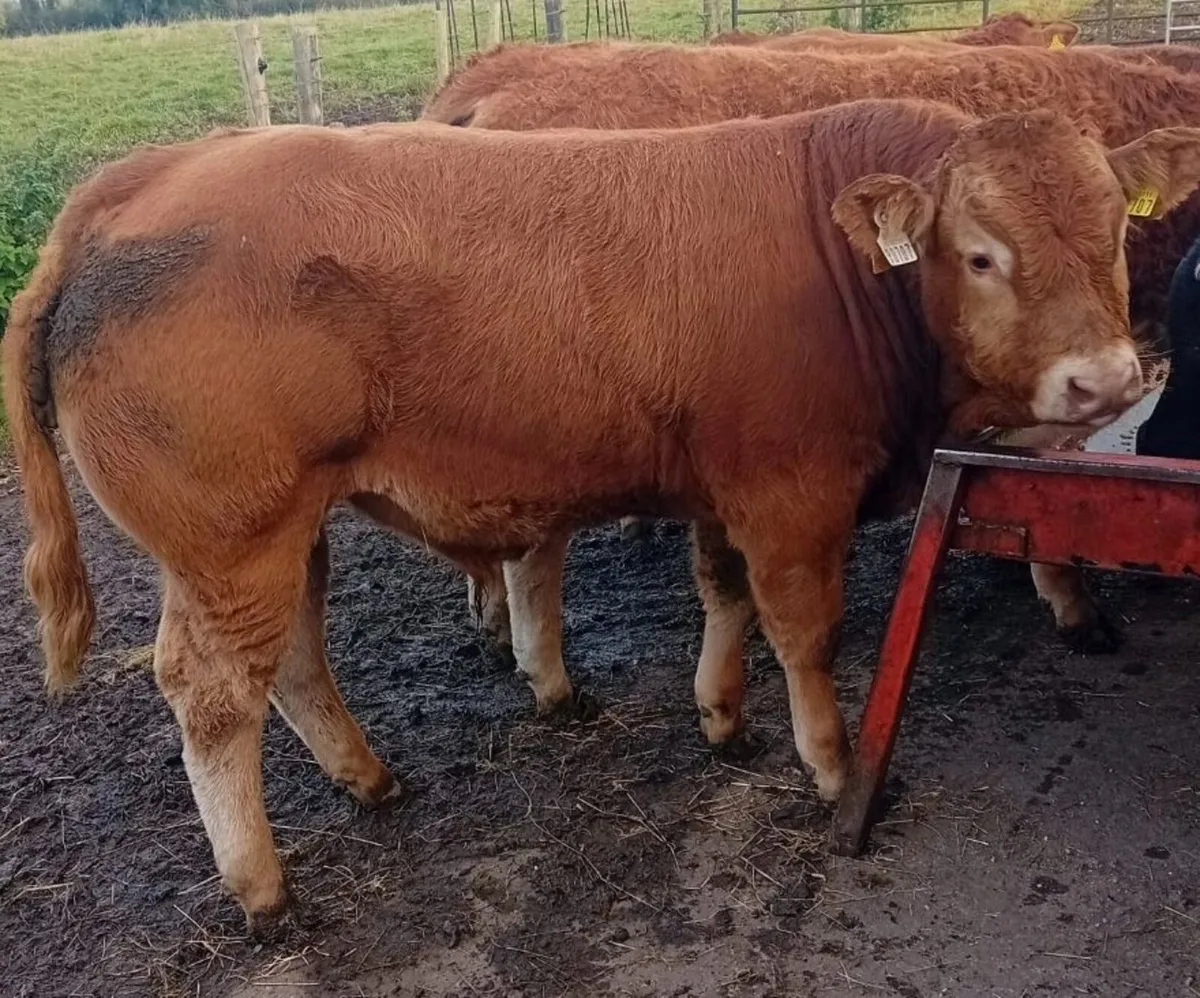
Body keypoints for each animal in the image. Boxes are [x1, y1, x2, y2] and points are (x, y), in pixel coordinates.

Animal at [9, 100, 1191, 928]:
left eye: (1112, 237)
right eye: (982, 253)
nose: (1102, 381)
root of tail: (137, 178)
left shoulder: (726, 482)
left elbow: (724, 593)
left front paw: (722, 713)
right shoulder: (794, 491)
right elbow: (805, 630)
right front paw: (831, 763)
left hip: (283, 534)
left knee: (292, 658)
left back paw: (368, 778)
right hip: (231, 541)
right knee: (212, 695)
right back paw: (262, 889)